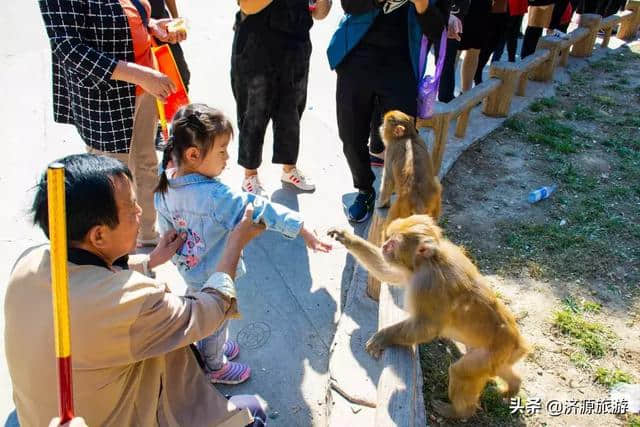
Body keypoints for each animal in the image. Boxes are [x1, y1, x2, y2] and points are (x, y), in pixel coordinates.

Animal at [328, 217, 528, 422]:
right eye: (388, 238)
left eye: (393, 243)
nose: (384, 246)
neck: (428, 261)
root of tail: (518, 344)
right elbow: (388, 273)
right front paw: (347, 238)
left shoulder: (428, 284)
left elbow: (428, 327)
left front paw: (382, 337)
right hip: (499, 357)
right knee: (500, 369)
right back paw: (513, 386)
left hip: (488, 356)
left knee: (461, 372)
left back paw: (459, 412)